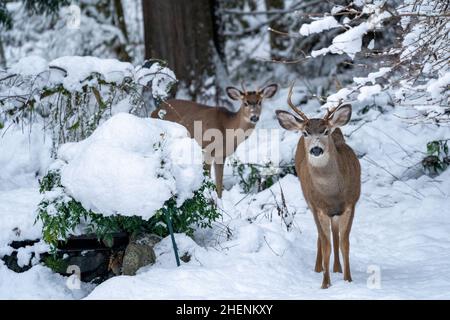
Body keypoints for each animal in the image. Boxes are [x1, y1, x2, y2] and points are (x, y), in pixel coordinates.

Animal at [274, 84, 362, 288]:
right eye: (306, 133)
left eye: (325, 131)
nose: (316, 149)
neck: (332, 194)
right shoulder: (317, 206)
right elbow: (326, 244)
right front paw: (325, 284)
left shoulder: (350, 204)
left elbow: (345, 243)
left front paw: (348, 280)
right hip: (309, 201)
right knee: (323, 237)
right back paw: (319, 268)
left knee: (335, 233)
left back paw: (337, 268)